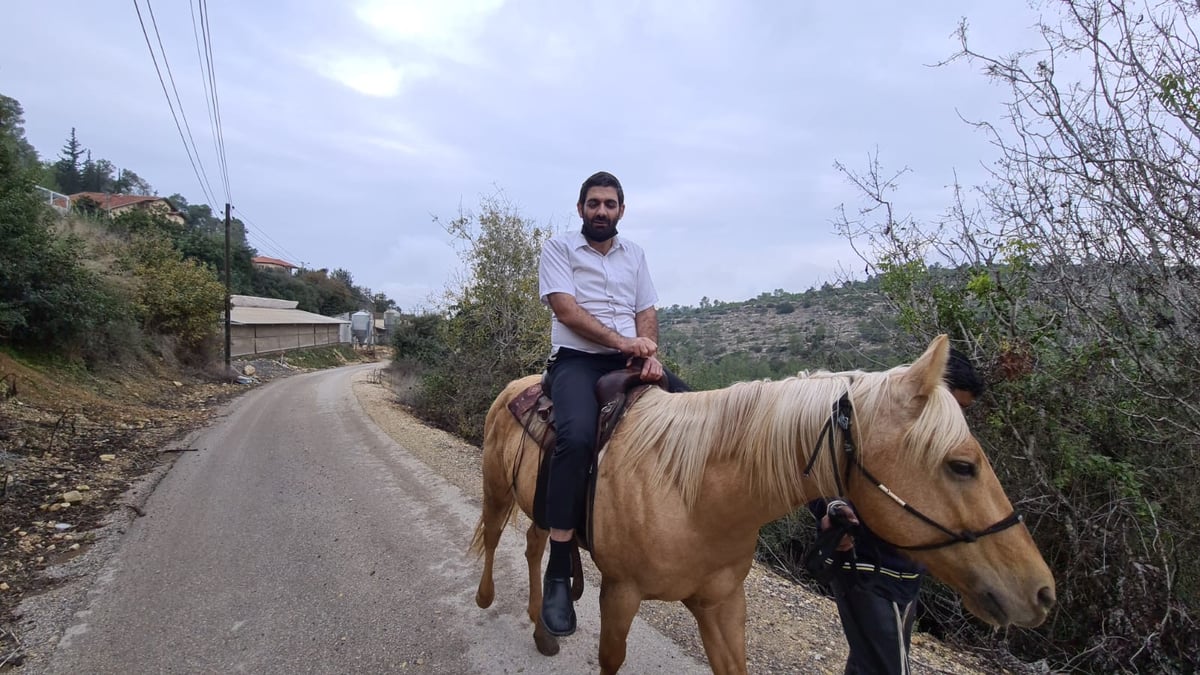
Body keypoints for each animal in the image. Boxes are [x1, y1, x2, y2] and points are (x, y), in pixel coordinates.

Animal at [468, 336, 1051, 672]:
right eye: (961, 465)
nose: (1041, 591)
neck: (693, 492)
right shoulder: (620, 594)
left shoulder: (723, 603)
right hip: (498, 489)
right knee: (496, 536)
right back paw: (488, 598)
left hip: (540, 503)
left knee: (536, 545)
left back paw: (542, 629)